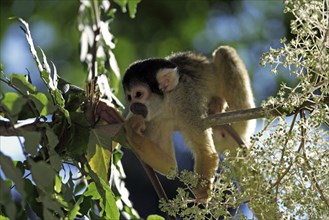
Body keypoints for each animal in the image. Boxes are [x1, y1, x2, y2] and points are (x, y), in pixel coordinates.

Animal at [121, 45, 255, 203]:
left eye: (138, 94)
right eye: (129, 97)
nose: (132, 107)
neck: (166, 105)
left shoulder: (186, 100)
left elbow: (205, 153)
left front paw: (203, 192)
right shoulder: (153, 121)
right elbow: (170, 166)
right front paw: (130, 128)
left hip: (243, 116)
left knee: (223, 52)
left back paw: (218, 104)